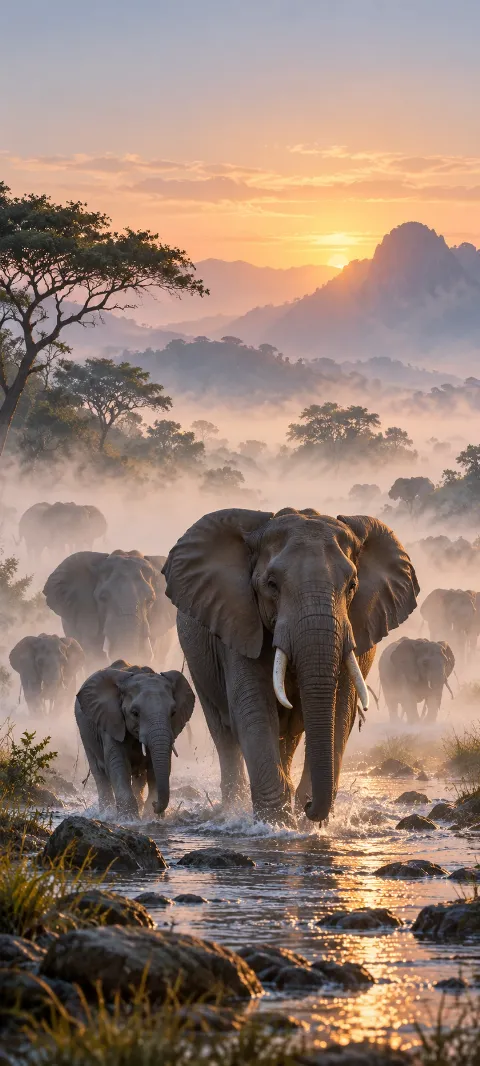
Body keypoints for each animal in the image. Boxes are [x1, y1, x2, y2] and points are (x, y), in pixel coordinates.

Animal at [75, 660, 195, 818]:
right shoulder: (111, 721)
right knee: (99, 774)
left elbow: (155, 766)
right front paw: (129, 818)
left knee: (140, 778)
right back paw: (107, 813)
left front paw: (151, 816)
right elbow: (117, 764)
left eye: (173, 712)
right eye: (135, 713)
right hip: (85, 733)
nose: (155, 805)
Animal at [162, 507, 419, 824]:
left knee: (289, 737)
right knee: (224, 735)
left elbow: (341, 710)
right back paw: (232, 809)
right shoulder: (237, 621)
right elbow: (253, 709)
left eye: (352, 586)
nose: (308, 807)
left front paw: (308, 822)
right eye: (272, 585)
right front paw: (277, 823)